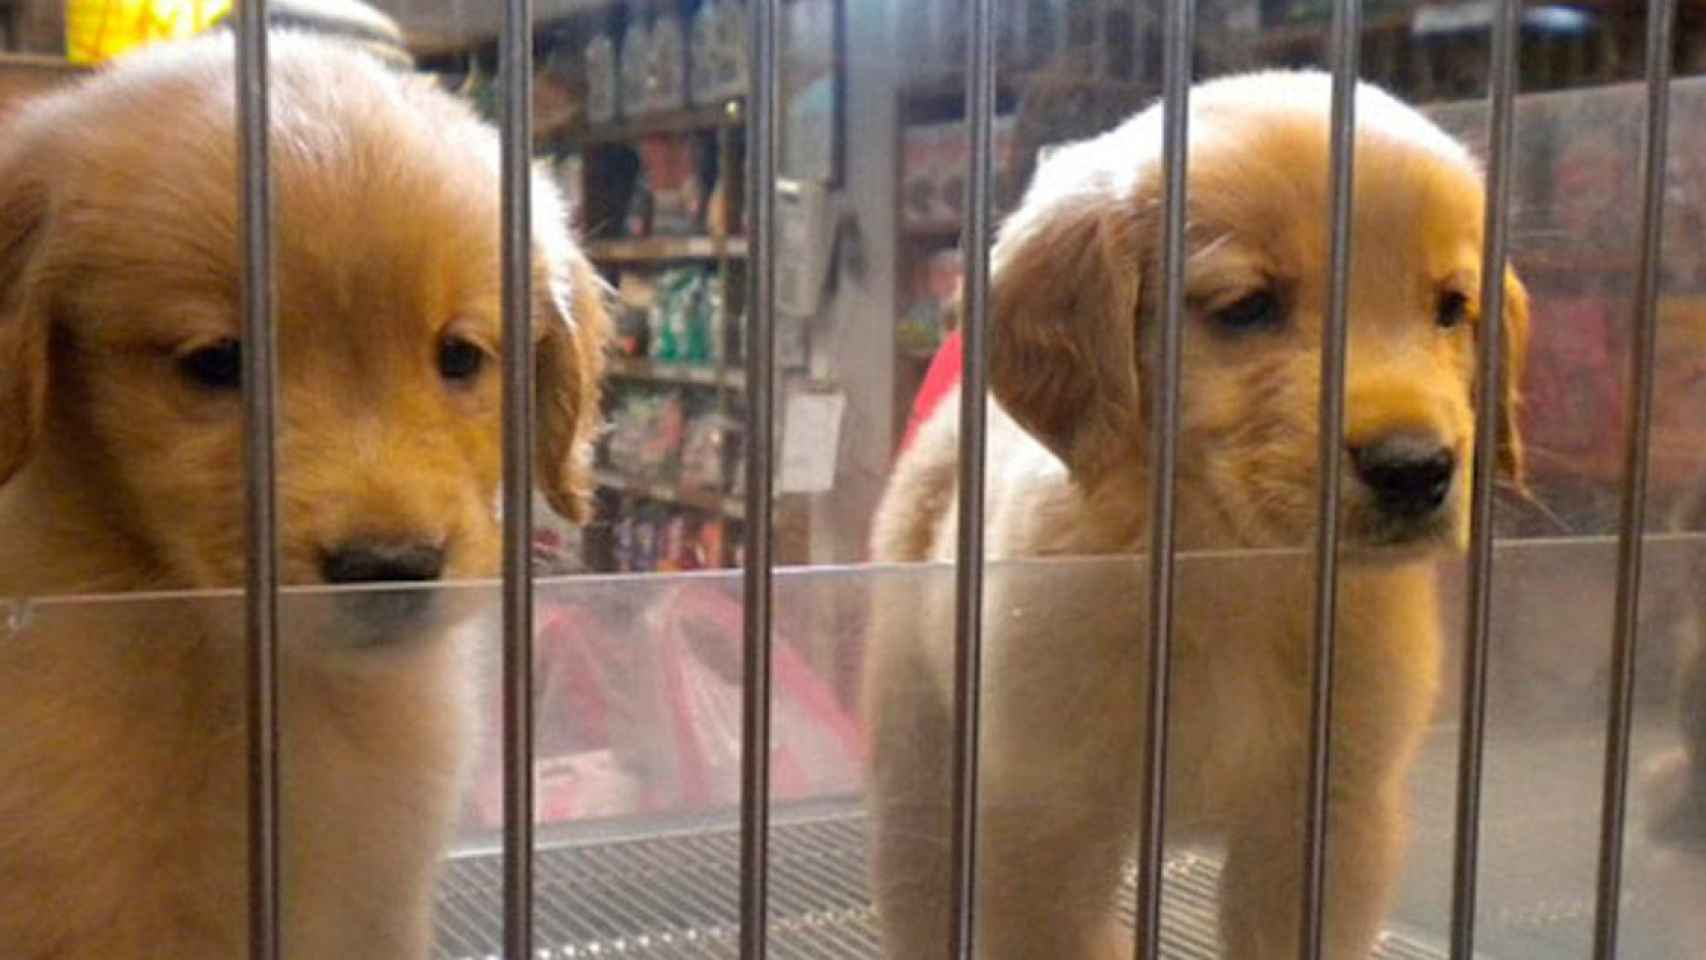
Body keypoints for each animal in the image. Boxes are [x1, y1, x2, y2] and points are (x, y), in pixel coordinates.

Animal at [866, 73, 1535, 960]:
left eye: (1452, 307)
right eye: (1247, 307)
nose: (1414, 469)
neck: (1228, 573)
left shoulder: (1326, 825)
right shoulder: (1042, 823)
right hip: (917, 762)